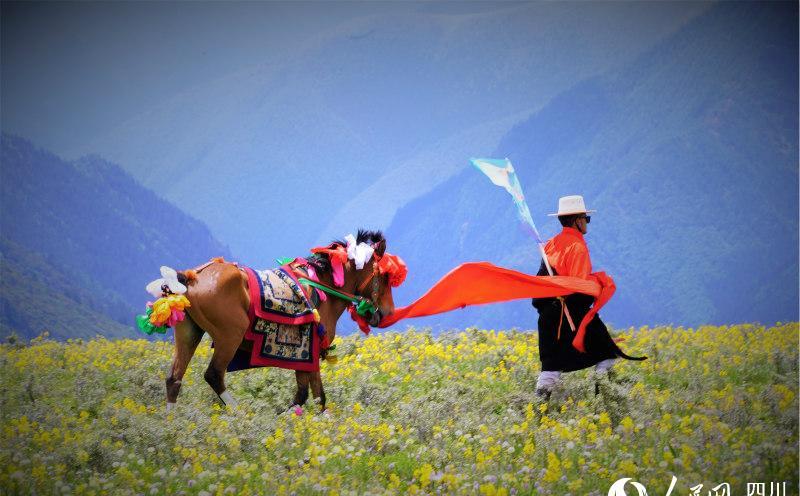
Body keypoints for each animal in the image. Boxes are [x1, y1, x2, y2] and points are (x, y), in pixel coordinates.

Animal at [164, 231, 396, 412]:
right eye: (385, 276)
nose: (387, 313)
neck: (323, 288)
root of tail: (191, 277)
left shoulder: (306, 358)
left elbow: (310, 397)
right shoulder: (308, 354)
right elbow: (310, 397)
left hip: (189, 333)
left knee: (174, 380)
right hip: (230, 336)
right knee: (213, 375)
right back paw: (241, 416)